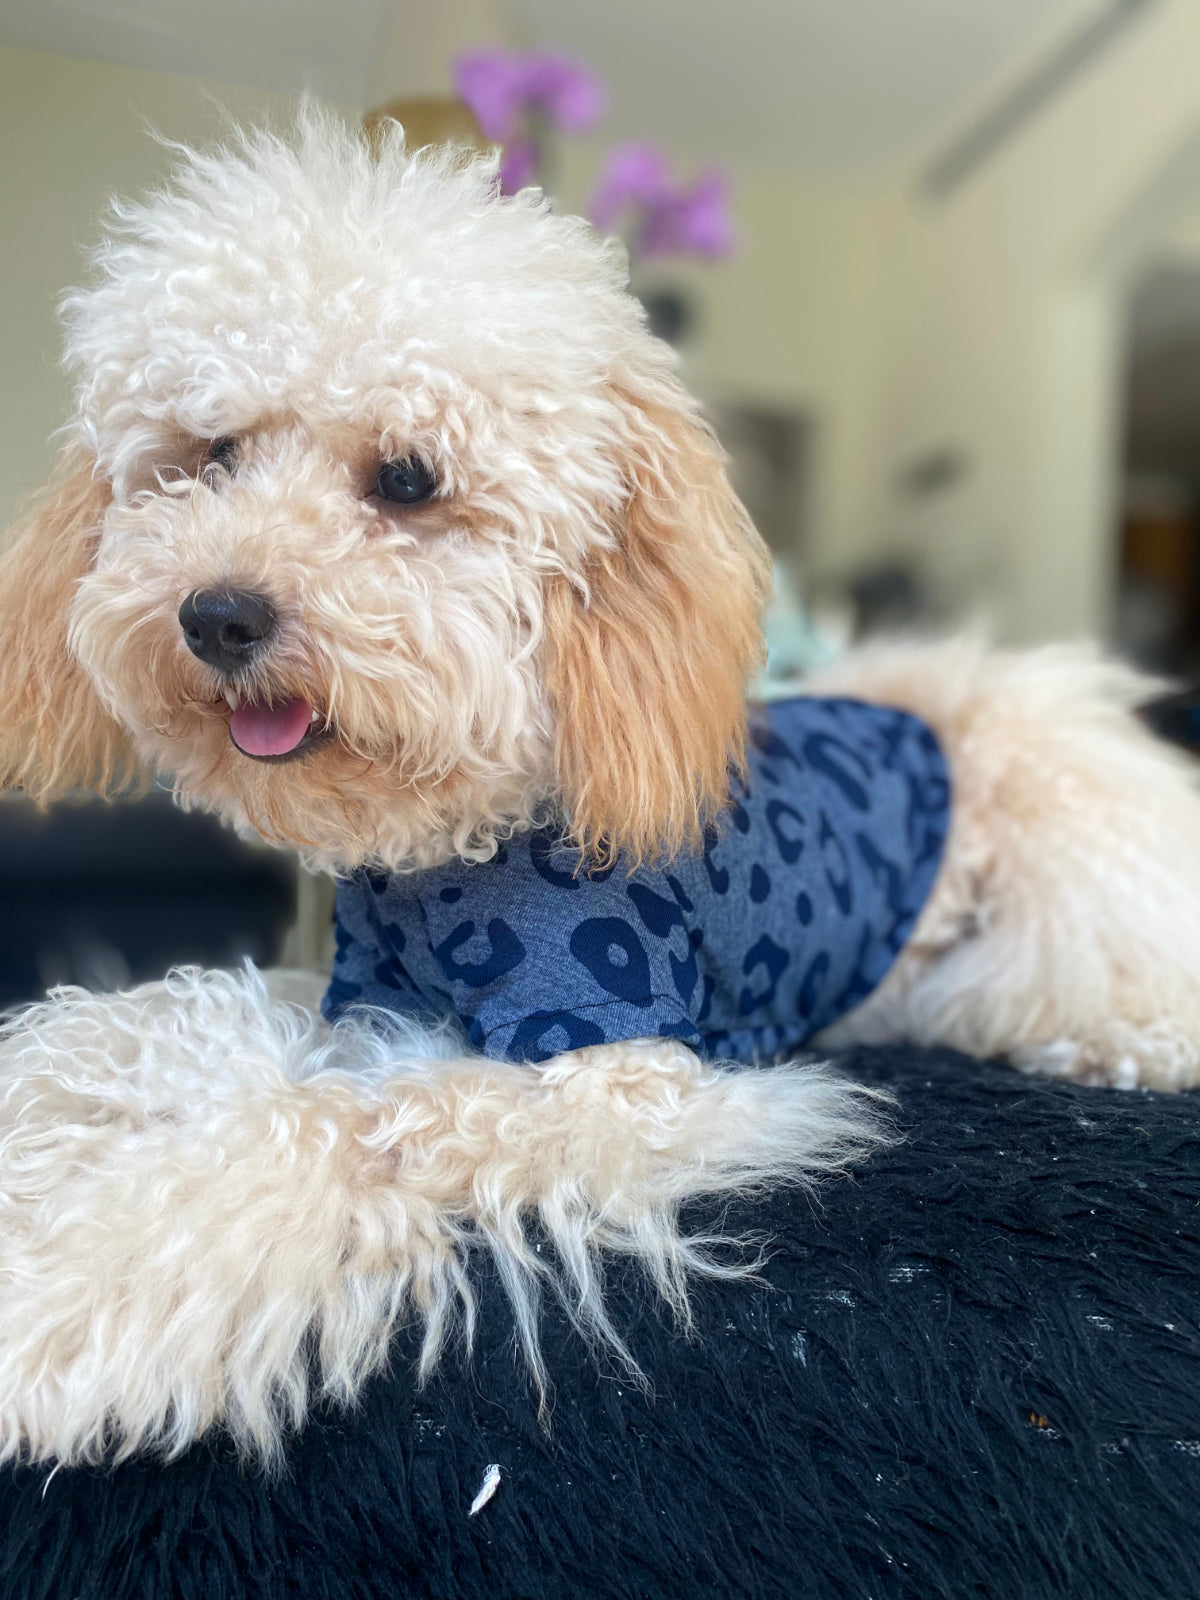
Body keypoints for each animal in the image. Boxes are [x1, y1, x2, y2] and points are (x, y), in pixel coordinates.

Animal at [2, 109, 1200, 1465]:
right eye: (210, 454)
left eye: (406, 479)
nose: (215, 614)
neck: (459, 855)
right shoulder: (363, 992)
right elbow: (181, 1020)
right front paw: (52, 1091)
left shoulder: (623, 1082)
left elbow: (351, 1121)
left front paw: (69, 1290)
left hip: (1066, 879)